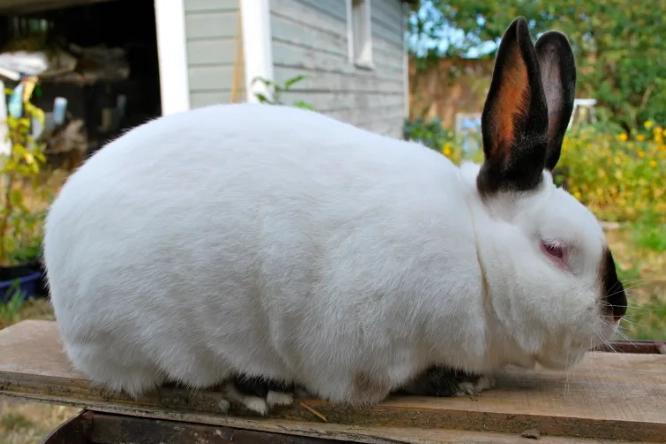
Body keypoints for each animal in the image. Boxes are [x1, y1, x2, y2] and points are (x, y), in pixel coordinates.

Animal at [43, 16, 627, 417]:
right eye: (554, 250)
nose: (617, 309)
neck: (478, 258)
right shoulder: (359, 351)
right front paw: (456, 381)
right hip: (158, 339)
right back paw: (261, 390)